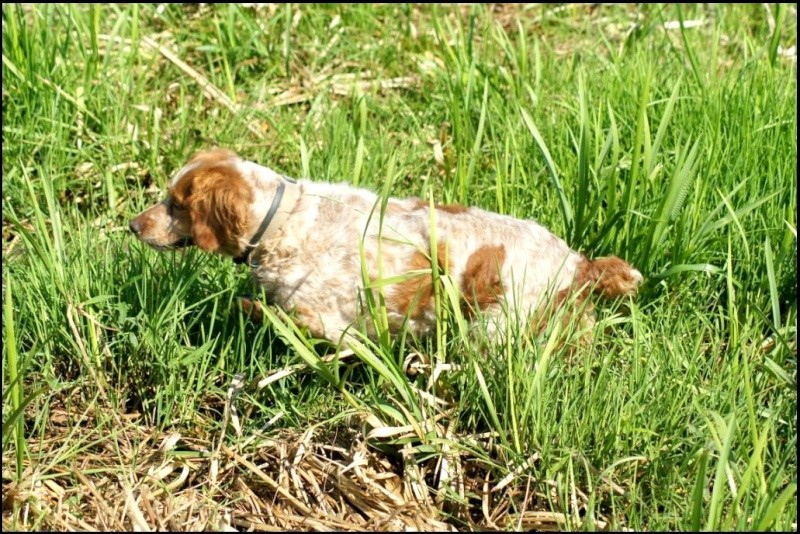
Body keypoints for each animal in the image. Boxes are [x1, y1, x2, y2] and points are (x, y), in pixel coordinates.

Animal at [131, 149, 644, 346]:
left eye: (176, 204)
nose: (133, 225)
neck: (286, 222)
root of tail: (579, 262)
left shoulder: (331, 325)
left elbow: (275, 315)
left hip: (497, 330)